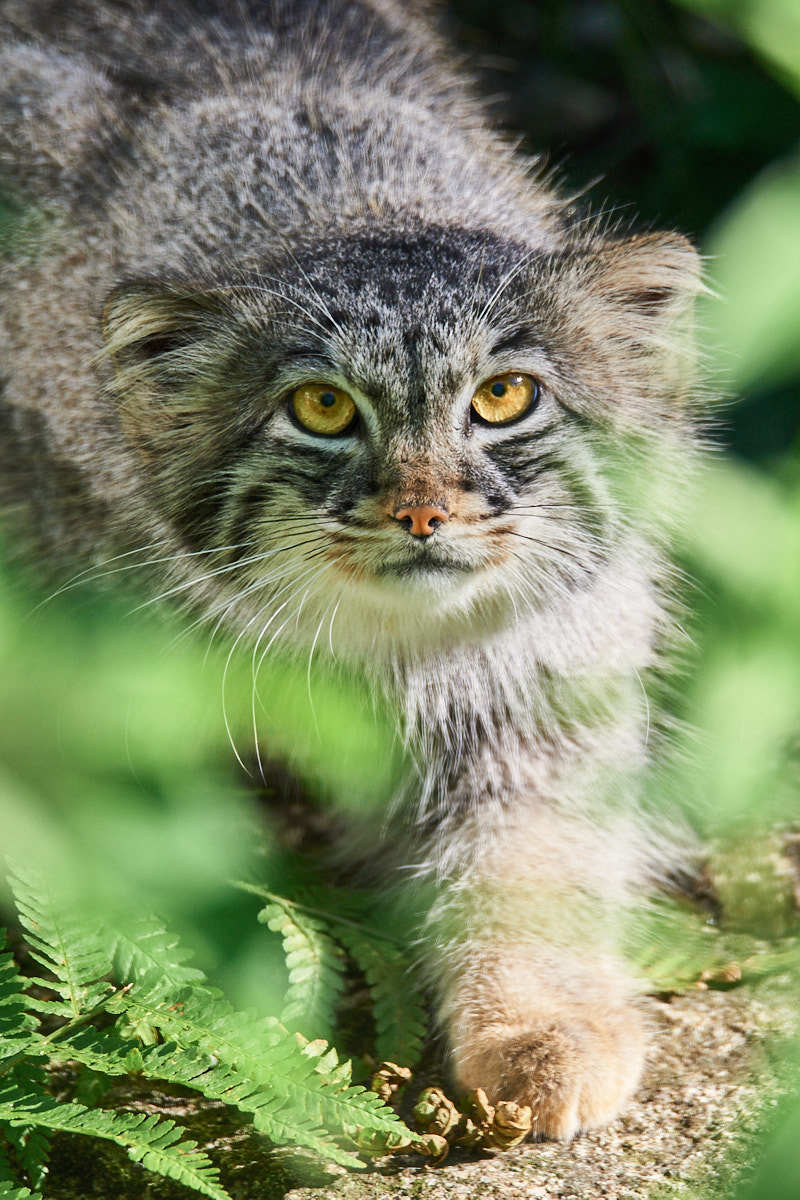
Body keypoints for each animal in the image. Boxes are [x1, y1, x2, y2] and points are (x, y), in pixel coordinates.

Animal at [0, 0, 700, 1132]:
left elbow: (531, 859)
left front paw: (541, 1024)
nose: (421, 512)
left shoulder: (534, 681)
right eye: (322, 407)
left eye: (503, 396)